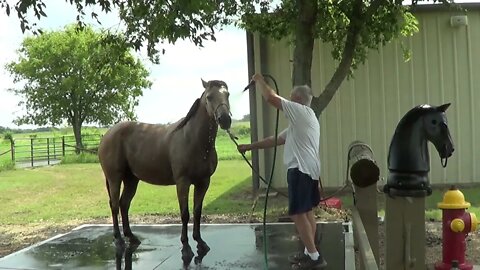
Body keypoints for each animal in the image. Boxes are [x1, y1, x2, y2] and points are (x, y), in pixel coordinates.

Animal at [96, 79, 232, 264]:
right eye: (209, 97)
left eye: (227, 94)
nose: (225, 119)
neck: (194, 140)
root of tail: (107, 134)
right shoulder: (183, 182)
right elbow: (184, 214)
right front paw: (186, 248)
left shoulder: (203, 182)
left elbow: (197, 212)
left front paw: (200, 242)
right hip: (114, 178)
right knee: (115, 205)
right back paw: (119, 240)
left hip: (131, 179)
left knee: (124, 204)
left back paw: (132, 237)